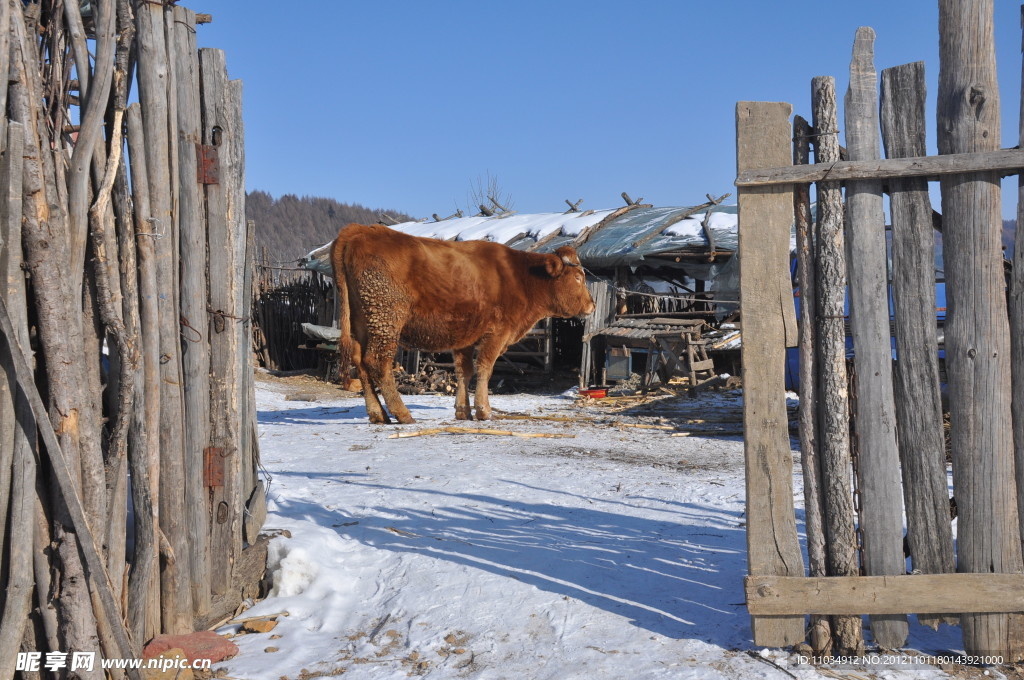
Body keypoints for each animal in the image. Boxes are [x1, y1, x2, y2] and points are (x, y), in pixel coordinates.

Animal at [331, 223, 598, 426]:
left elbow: (464, 371)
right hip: (387, 319)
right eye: (578, 277)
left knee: (360, 362)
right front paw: (483, 410)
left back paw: (378, 414)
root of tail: (361, 229)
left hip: (363, 323)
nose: (592, 305)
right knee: (378, 362)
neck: (521, 277)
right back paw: (402, 413)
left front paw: (463, 411)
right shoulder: (497, 333)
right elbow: (485, 369)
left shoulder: (465, 337)